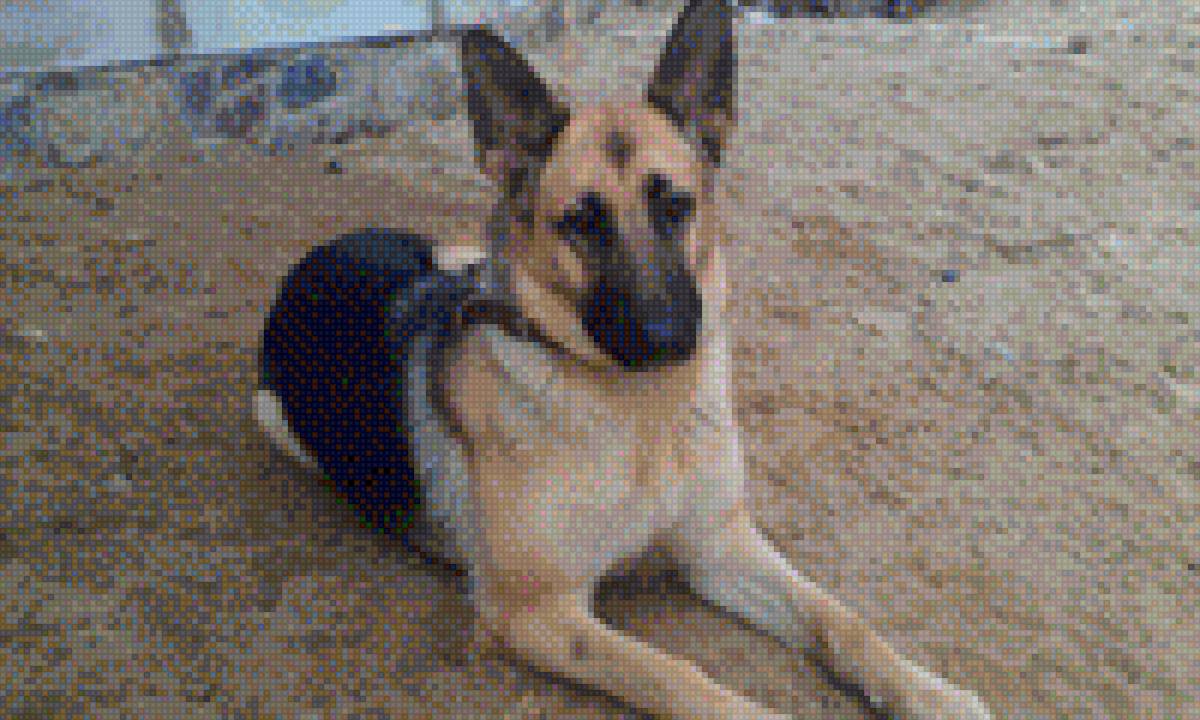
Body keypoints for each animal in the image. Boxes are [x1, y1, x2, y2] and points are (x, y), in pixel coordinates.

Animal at [254, 0, 992, 717]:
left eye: (675, 205)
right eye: (581, 222)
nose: (668, 337)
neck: (646, 413)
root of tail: (324, 250)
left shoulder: (719, 546)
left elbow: (841, 620)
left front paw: (929, 691)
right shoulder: (536, 615)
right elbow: (676, 676)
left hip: (458, 260)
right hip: (274, 416)